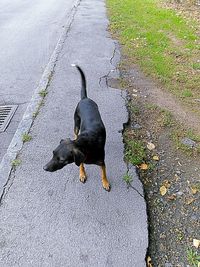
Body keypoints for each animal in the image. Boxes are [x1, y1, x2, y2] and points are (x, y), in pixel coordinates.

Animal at [43, 65, 111, 193]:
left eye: (62, 159)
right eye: (53, 153)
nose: (44, 168)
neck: (84, 144)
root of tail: (85, 98)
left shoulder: (101, 161)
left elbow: (103, 172)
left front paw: (105, 182)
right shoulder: (80, 159)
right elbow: (81, 165)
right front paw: (82, 174)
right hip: (76, 123)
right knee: (75, 132)